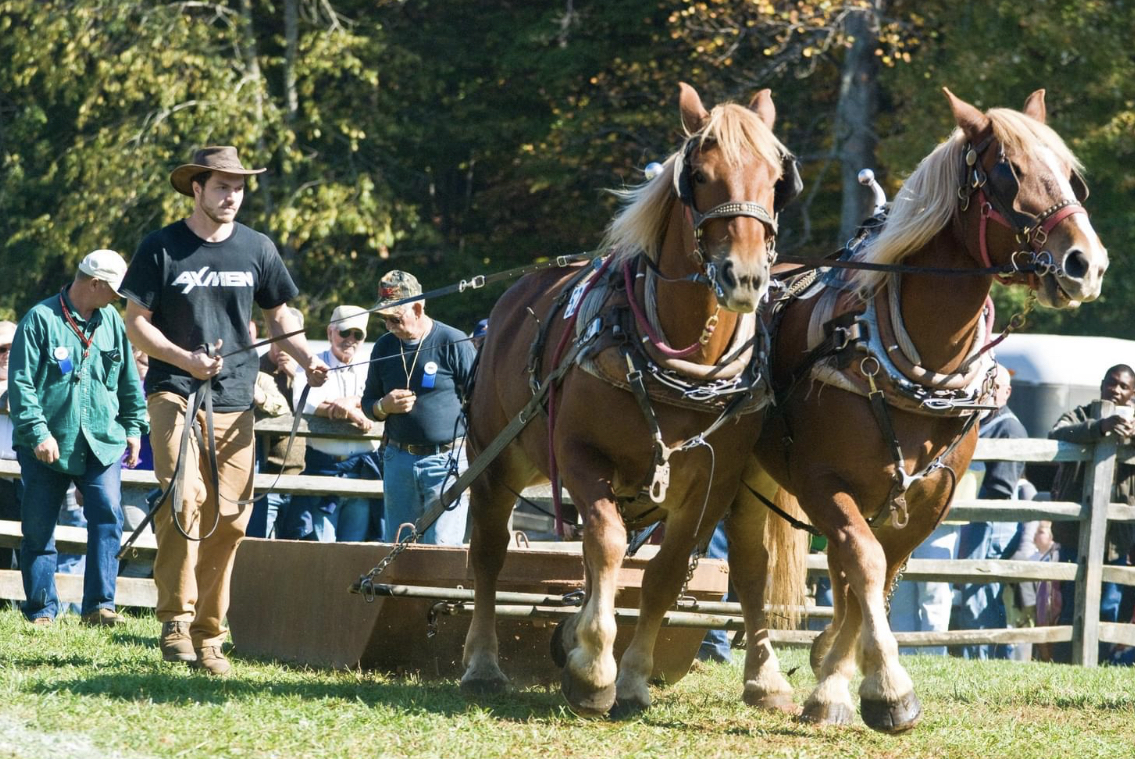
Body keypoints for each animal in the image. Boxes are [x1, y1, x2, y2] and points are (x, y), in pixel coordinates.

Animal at [460, 82, 799, 717]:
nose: (743, 278)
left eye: (774, 179)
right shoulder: (578, 456)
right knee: (490, 554)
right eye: (700, 175)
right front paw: (595, 667)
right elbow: (609, 543)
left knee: (750, 567)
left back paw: (764, 680)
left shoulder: (711, 481)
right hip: (495, 459)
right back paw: (483, 665)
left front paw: (633, 678)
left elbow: (664, 573)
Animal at [735, 85, 1107, 730]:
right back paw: (764, 678)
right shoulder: (822, 481)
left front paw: (839, 679)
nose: (1086, 263)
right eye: (1008, 172)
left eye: (1069, 174)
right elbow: (865, 563)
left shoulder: (929, 495)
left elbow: (876, 573)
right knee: (753, 563)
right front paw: (885, 689)